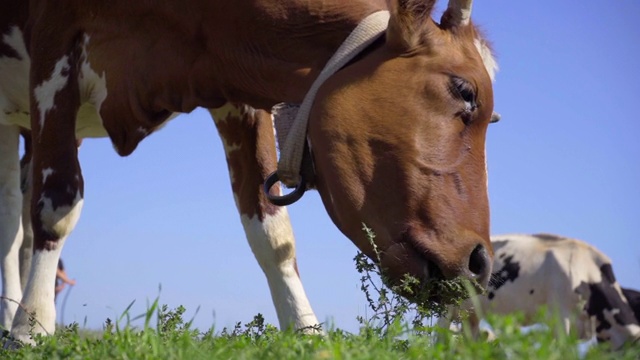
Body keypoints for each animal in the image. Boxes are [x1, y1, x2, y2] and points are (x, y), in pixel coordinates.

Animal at [1, 0, 500, 344]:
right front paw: (32, 327)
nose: (480, 262)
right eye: (464, 91)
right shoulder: (53, 61)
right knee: (12, 219)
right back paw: (12, 316)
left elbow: (271, 231)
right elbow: (58, 204)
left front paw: (306, 333)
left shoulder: (234, 94)